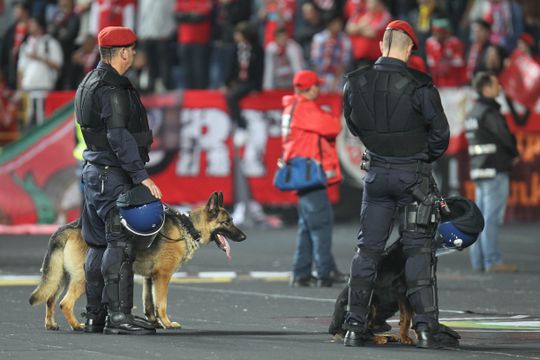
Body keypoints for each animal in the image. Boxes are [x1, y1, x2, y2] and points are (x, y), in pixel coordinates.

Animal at [29, 193, 247, 330]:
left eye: (232, 221)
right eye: (227, 223)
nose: (244, 237)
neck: (189, 227)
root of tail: (66, 227)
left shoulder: (150, 279)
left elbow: (150, 305)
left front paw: (155, 323)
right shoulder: (162, 277)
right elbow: (162, 304)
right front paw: (167, 323)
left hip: (61, 278)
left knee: (50, 299)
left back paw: (51, 325)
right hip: (83, 279)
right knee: (65, 303)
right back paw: (77, 326)